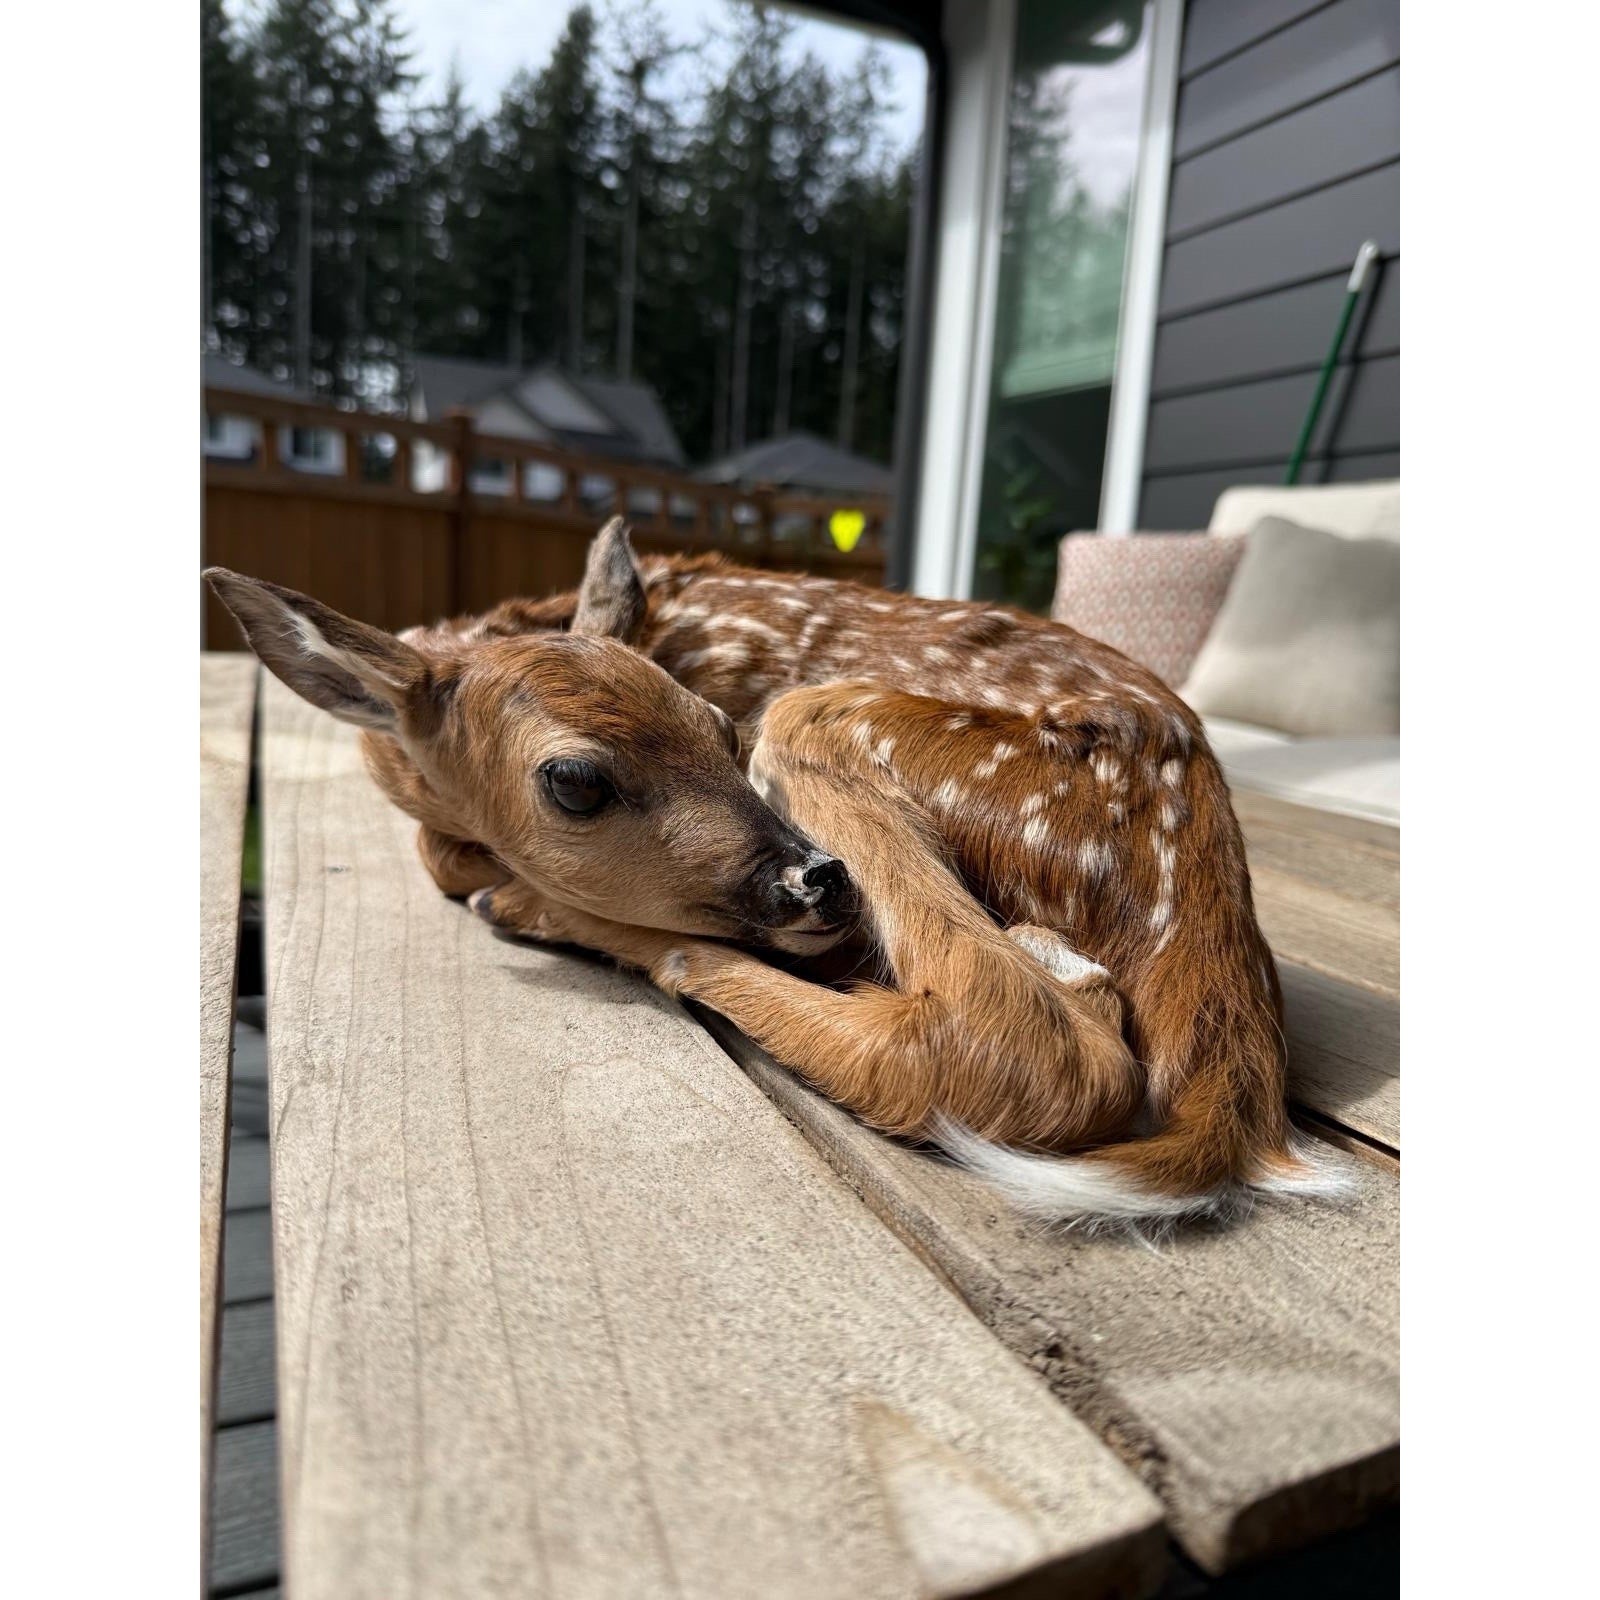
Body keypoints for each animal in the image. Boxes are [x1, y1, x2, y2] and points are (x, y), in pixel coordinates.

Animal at [205, 518, 1344, 1230]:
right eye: (574, 781)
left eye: (719, 724)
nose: (819, 881)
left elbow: (444, 859)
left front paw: (509, 885)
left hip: (826, 712)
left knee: (1017, 1039)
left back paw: (546, 911)